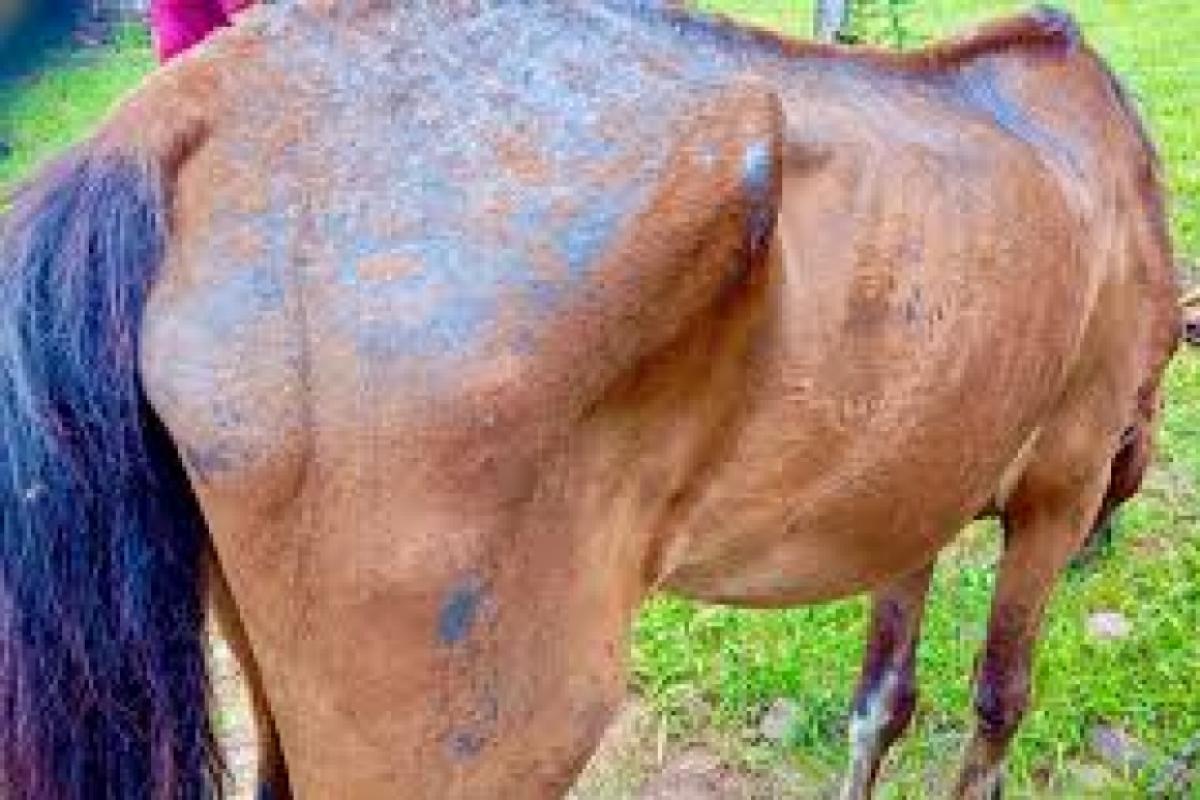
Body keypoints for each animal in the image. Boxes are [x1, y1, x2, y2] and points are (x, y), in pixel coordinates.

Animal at [0, 2, 1180, 798]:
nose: (1107, 535)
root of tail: (185, 115)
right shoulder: (1058, 487)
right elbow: (997, 701)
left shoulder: (914, 493)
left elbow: (882, 703)